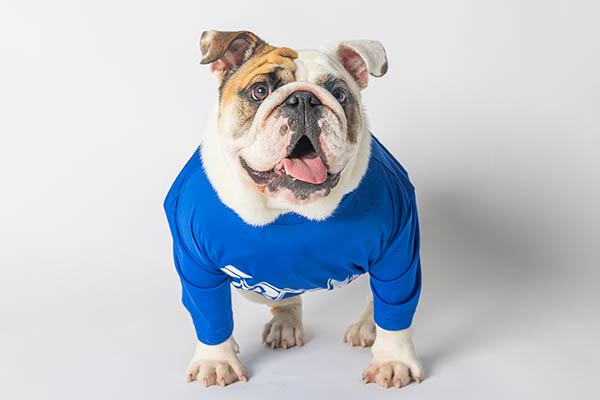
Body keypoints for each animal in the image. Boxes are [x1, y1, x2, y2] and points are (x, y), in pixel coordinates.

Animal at [164, 30, 423, 389]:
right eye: (260, 91)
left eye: (339, 94)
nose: (303, 100)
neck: (289, 209)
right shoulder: (196, 264)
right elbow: (209, 313)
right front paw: (216, 360)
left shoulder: (399, 250)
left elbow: (396, 308)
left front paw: (392, 359)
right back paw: (284, 323)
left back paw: (366, 327)